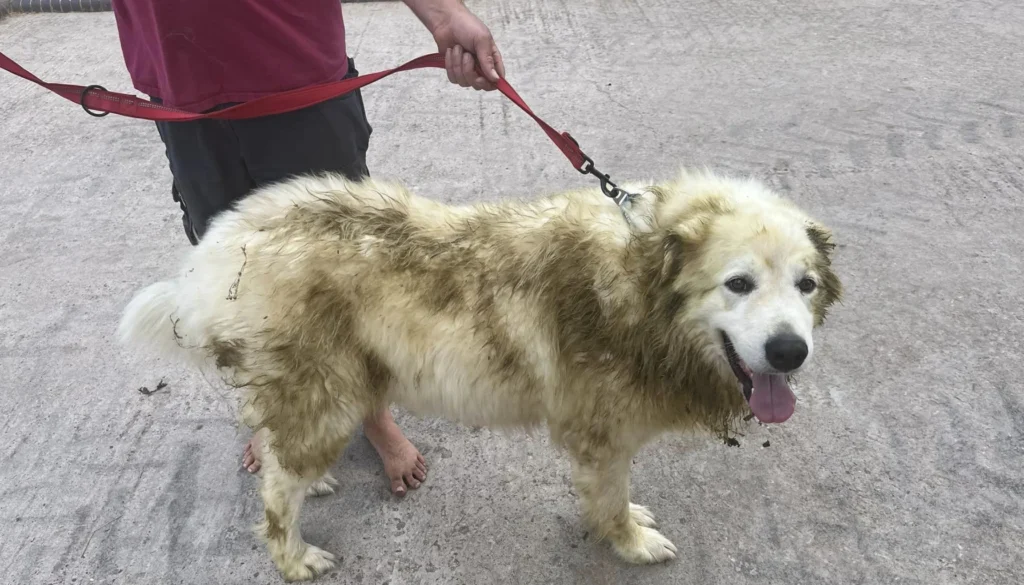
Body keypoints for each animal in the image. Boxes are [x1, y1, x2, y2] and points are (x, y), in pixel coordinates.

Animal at [117, 168, 839, 581]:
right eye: (738, 283)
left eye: (805, 285)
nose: (788, 352)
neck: (638, 279)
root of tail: (217, 248)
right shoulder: (601, 433)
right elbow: (607, 502)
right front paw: (631, 543)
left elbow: (613, 496)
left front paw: (629, 519)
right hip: (323, 395)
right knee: (274, 494)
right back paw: (294, 557)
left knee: (276, 448)